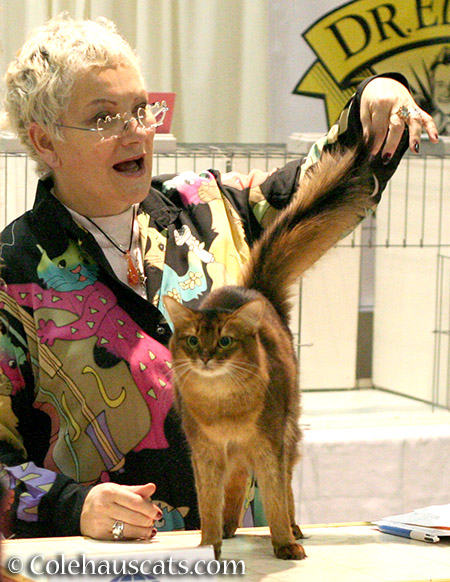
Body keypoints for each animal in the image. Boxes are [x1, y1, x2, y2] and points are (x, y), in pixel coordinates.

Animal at [163, 141, 374, 560]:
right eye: (192, 339)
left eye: (225, 340)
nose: (205, 356)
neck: (223, 407)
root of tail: (256, 289)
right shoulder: (205, 454)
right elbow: (208, 504)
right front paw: (208, 544)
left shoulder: (268, 445)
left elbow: (276, 497)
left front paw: (284, 543)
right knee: (238, 478)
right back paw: (229, 527)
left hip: (288, 430)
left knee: (285, 483)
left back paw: (293, 528)